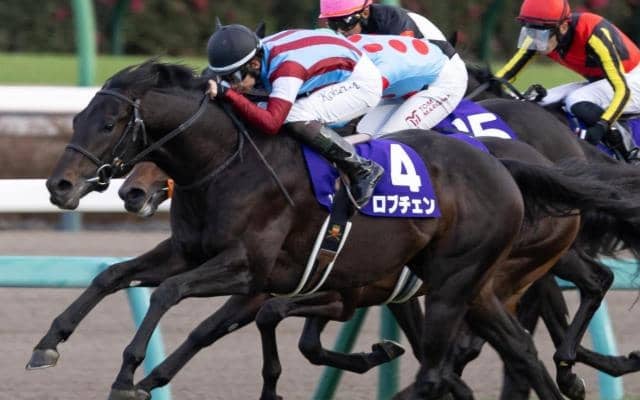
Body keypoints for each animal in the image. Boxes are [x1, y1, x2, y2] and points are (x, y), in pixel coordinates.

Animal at [41, 60, 535, 399]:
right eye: (77, 118)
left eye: (109, 123)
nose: (59, 186)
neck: (227, 163)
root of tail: (500, 167)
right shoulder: (190, 252)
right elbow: (112, 276)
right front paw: (50, 343)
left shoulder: (248, 269)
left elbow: (174, 297)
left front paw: (131, 373)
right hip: (466, 288)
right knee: (516, 350)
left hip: (452, 284)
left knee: (437, 371)